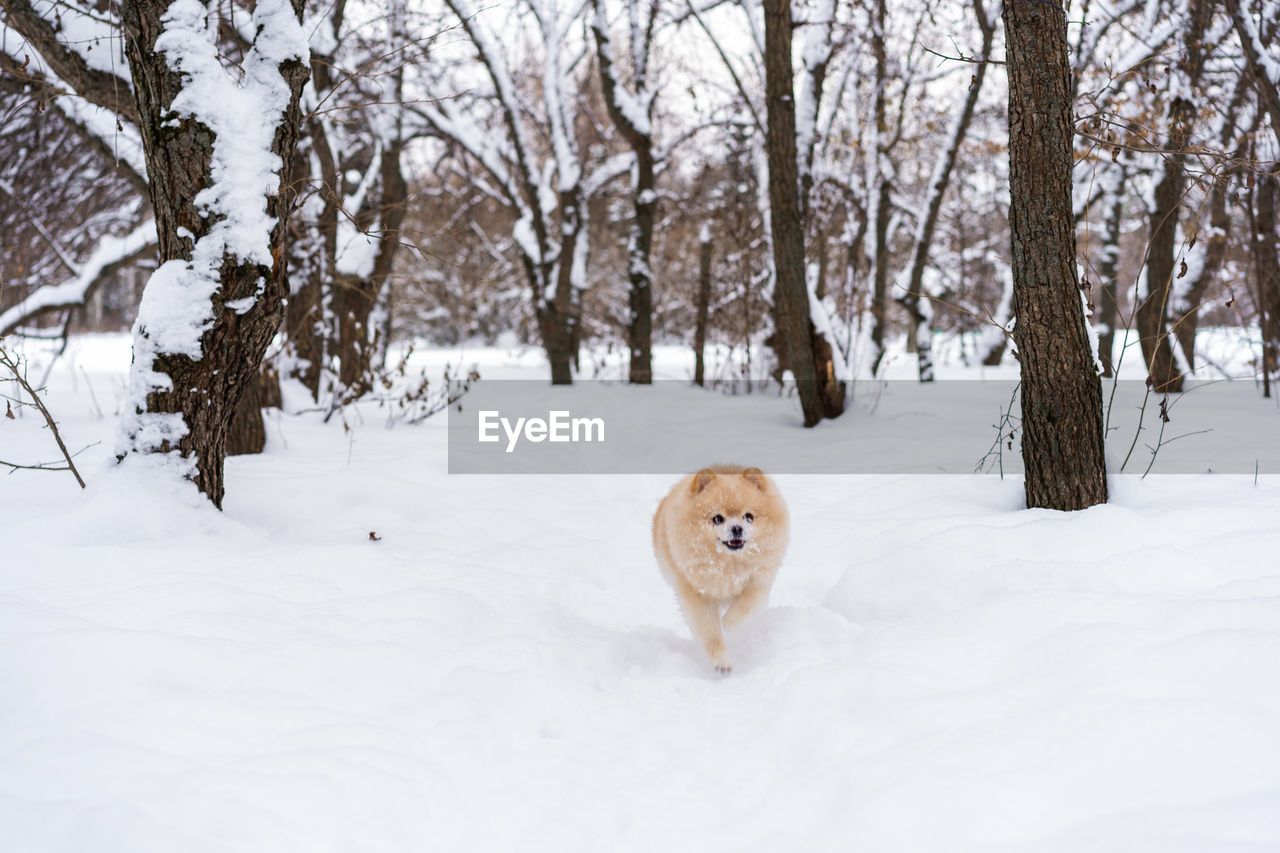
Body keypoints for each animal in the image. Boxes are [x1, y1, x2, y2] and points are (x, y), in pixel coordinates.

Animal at [650, 466, 788, 671]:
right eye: (717, 519)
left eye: (749, 517)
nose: (737, 528)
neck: (728, 565)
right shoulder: (697, 594)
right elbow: (710, 633)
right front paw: (722, 661)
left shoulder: (759, 582)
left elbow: (745, 605)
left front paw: (729, 623)